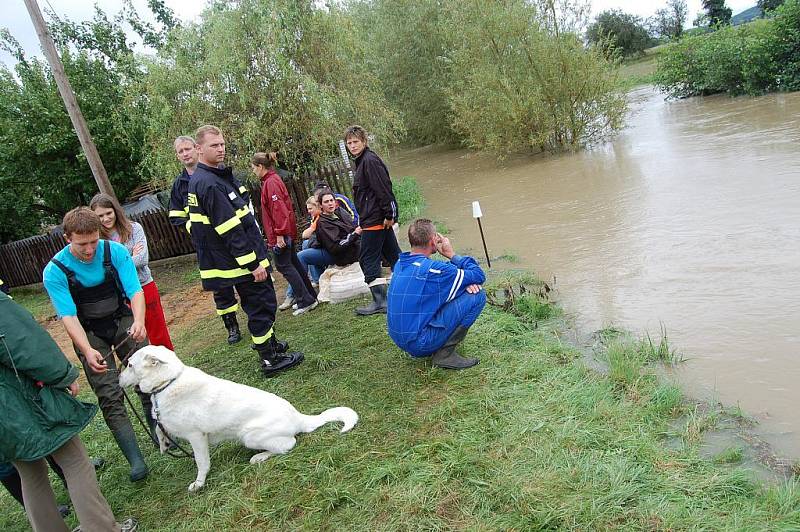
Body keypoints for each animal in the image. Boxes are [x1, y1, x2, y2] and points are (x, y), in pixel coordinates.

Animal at [118, 344, 356, 490]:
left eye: (129, 365)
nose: (117, 380)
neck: (168, 382)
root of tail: (299, 417)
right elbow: (160, 427)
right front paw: (164, 443)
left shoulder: (196, 437)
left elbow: (201, 463)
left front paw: (199, 483)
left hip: (249, 436)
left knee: (289, 444)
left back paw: (259, 457)